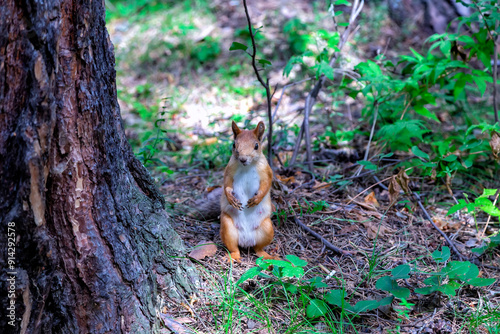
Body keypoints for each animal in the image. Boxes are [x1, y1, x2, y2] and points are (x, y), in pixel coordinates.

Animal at [221, 121, 278, 262]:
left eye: (256, 145)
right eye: (234, 144)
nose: (242, 159)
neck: (246, 166)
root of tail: (246, 241)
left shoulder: (266, 171)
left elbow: (267, 184)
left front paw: (256, 199)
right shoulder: (229, 170)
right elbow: (226, 184)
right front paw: (231, 198)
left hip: (267, 228)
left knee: (258, 249)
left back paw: (268, 256)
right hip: (227, 227)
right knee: (234, 248)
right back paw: (233, 256)